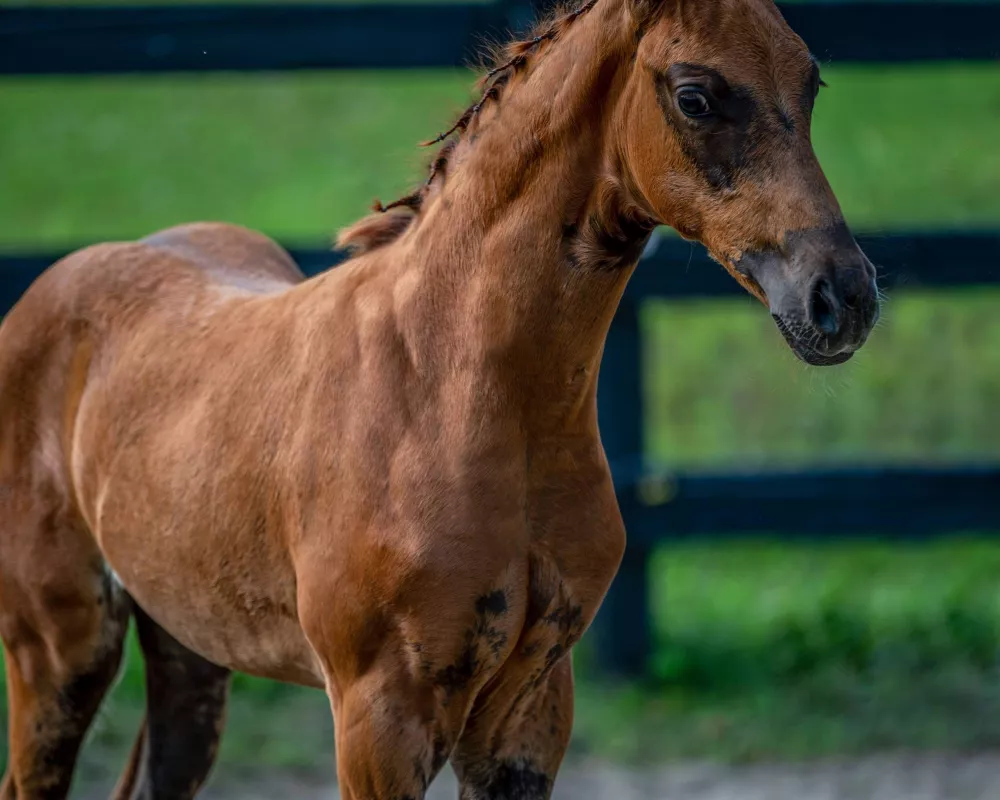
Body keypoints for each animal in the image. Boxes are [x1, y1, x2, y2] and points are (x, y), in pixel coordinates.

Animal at [0, 0, 876, 796]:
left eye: (811, 82)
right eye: (696, 95)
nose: (843, 298)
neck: (446, 389)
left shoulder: (530, 712)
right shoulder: (379, 718)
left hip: (189, 647)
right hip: (59, 649)